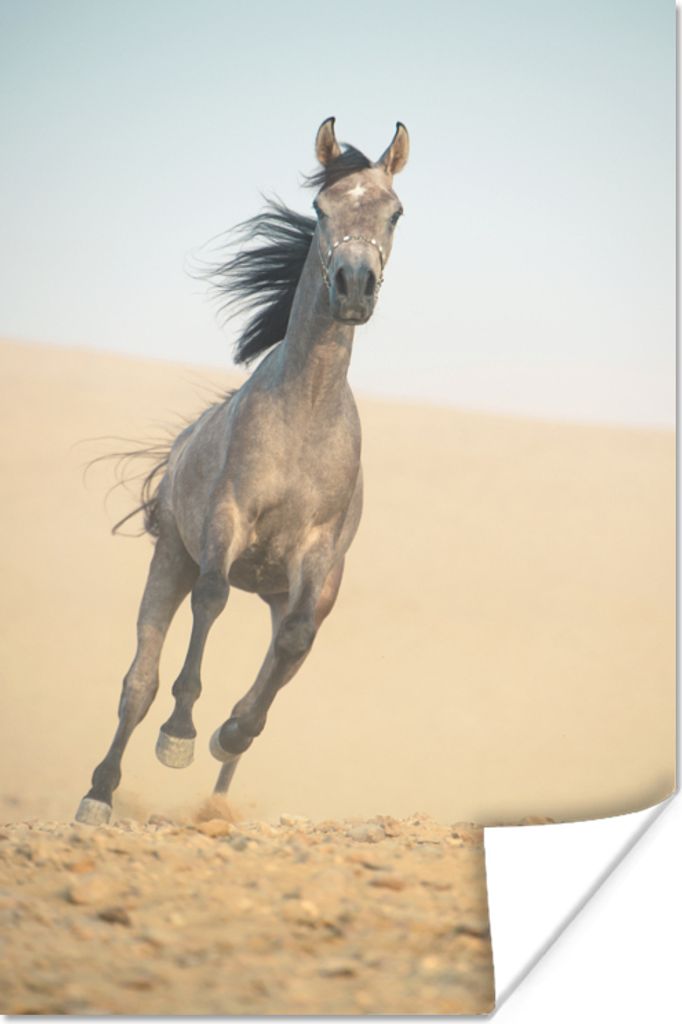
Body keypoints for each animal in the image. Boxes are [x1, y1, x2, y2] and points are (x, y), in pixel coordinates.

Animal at [75, 117, 409, 825]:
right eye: (320, 207)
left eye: (395, 212)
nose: (354, 286)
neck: (305, 410)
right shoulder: (226, 525)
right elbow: (211, 600)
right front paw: (179, 736)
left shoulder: (316, 559)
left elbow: (293, 646)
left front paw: (231, 731)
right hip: (170, 559)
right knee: (139, 680)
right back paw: (99, 793)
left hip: (287, 589)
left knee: (282, 654)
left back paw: (222, 785)